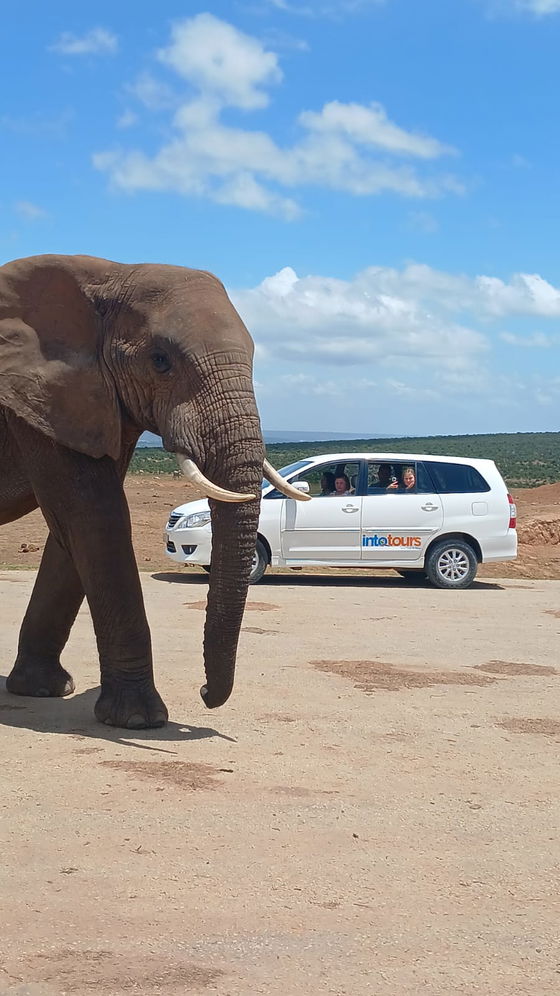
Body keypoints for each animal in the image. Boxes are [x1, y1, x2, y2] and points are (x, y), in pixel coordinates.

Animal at [0, 253, 307, 729]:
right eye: (160, 361)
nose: (204, 693)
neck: (109, 272)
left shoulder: (91, 401)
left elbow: (71, 529)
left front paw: (44, 690)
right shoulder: (36, 397)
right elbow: (94, 516)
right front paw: (138, 720)